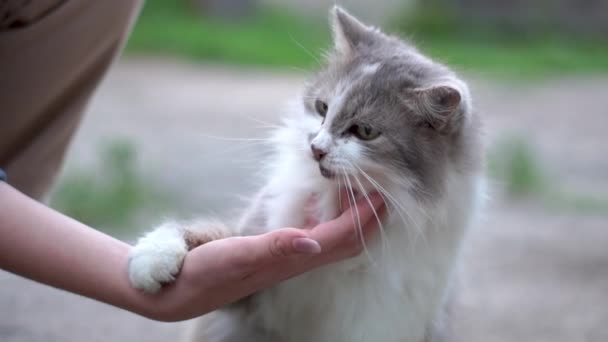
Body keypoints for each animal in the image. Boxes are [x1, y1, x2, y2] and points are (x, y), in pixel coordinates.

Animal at [127, 6, 484, 342]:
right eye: (322, 108)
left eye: (366, 131)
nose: (316, 148)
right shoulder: (252, 275)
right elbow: (204, 233)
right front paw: (152, 258)